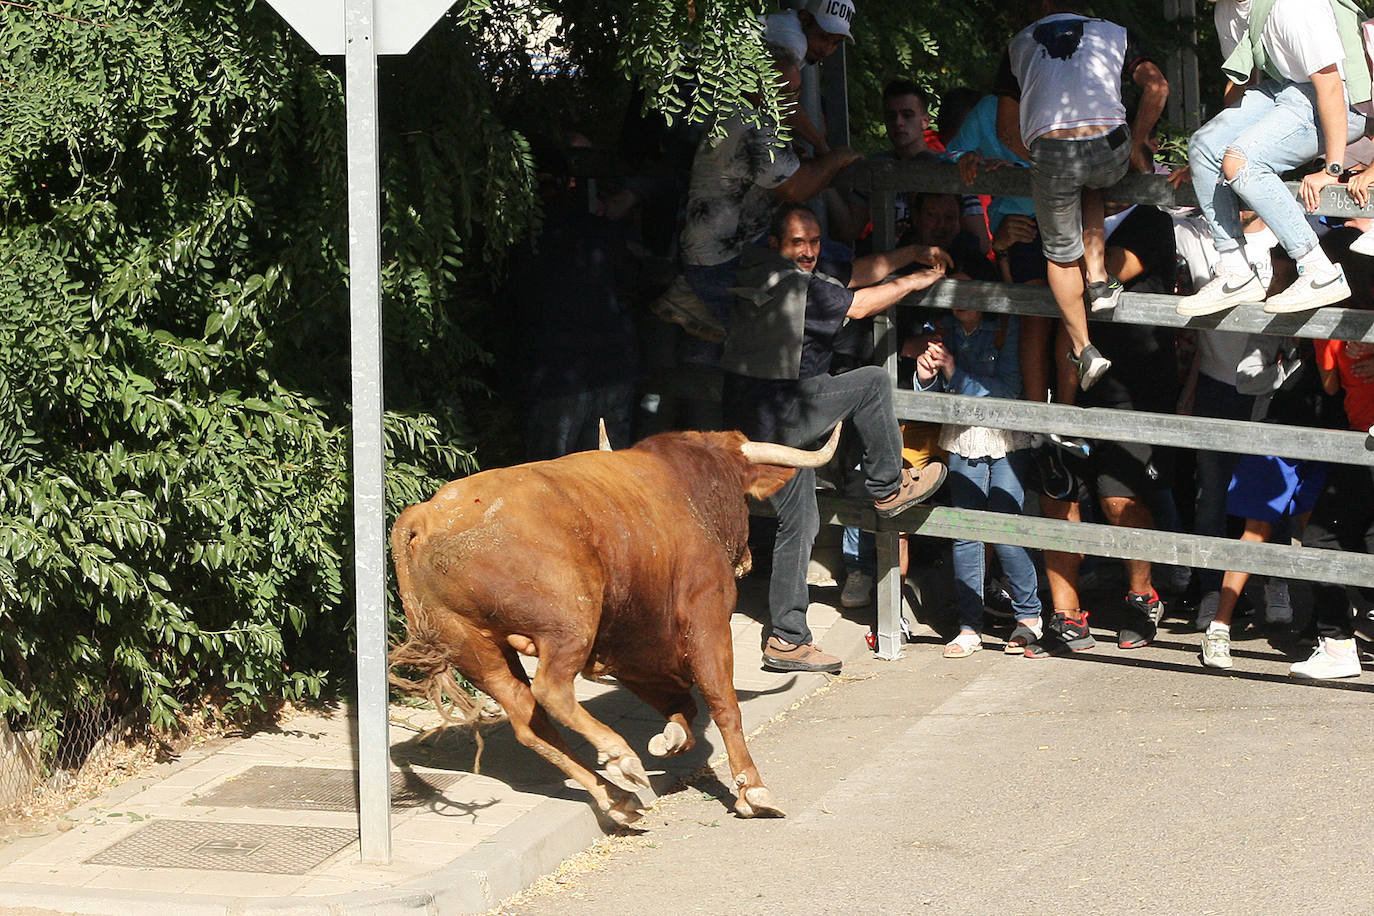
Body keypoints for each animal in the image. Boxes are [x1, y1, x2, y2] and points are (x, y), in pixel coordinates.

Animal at [384, 428, 835, 823]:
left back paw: (616, 797)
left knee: (529, 721)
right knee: (551, 690)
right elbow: (723, 704)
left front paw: (672, 739)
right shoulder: (706, 618)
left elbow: (683, 705)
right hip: (568, 625)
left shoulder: (631, 648)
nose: (748, 560)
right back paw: (620, 757)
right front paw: (753, 790)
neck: (684, 486)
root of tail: (424, 518)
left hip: (476, 650)